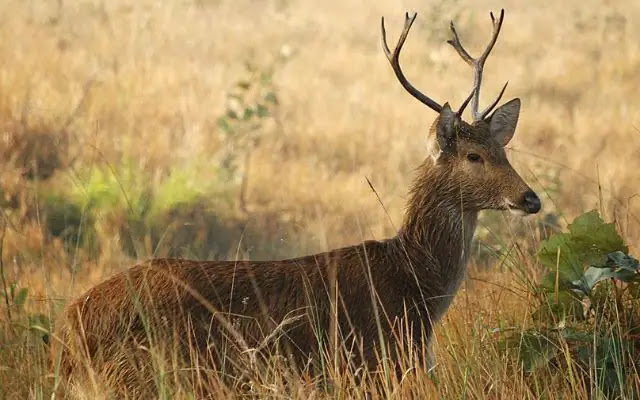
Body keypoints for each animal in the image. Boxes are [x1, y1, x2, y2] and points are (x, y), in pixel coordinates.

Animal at [53, 7, 540, 396]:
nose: (530, 198)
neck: (414, 284)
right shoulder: (375, 363)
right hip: (144, 374)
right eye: (474, 156)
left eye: (503, 150)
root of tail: (69, 331)